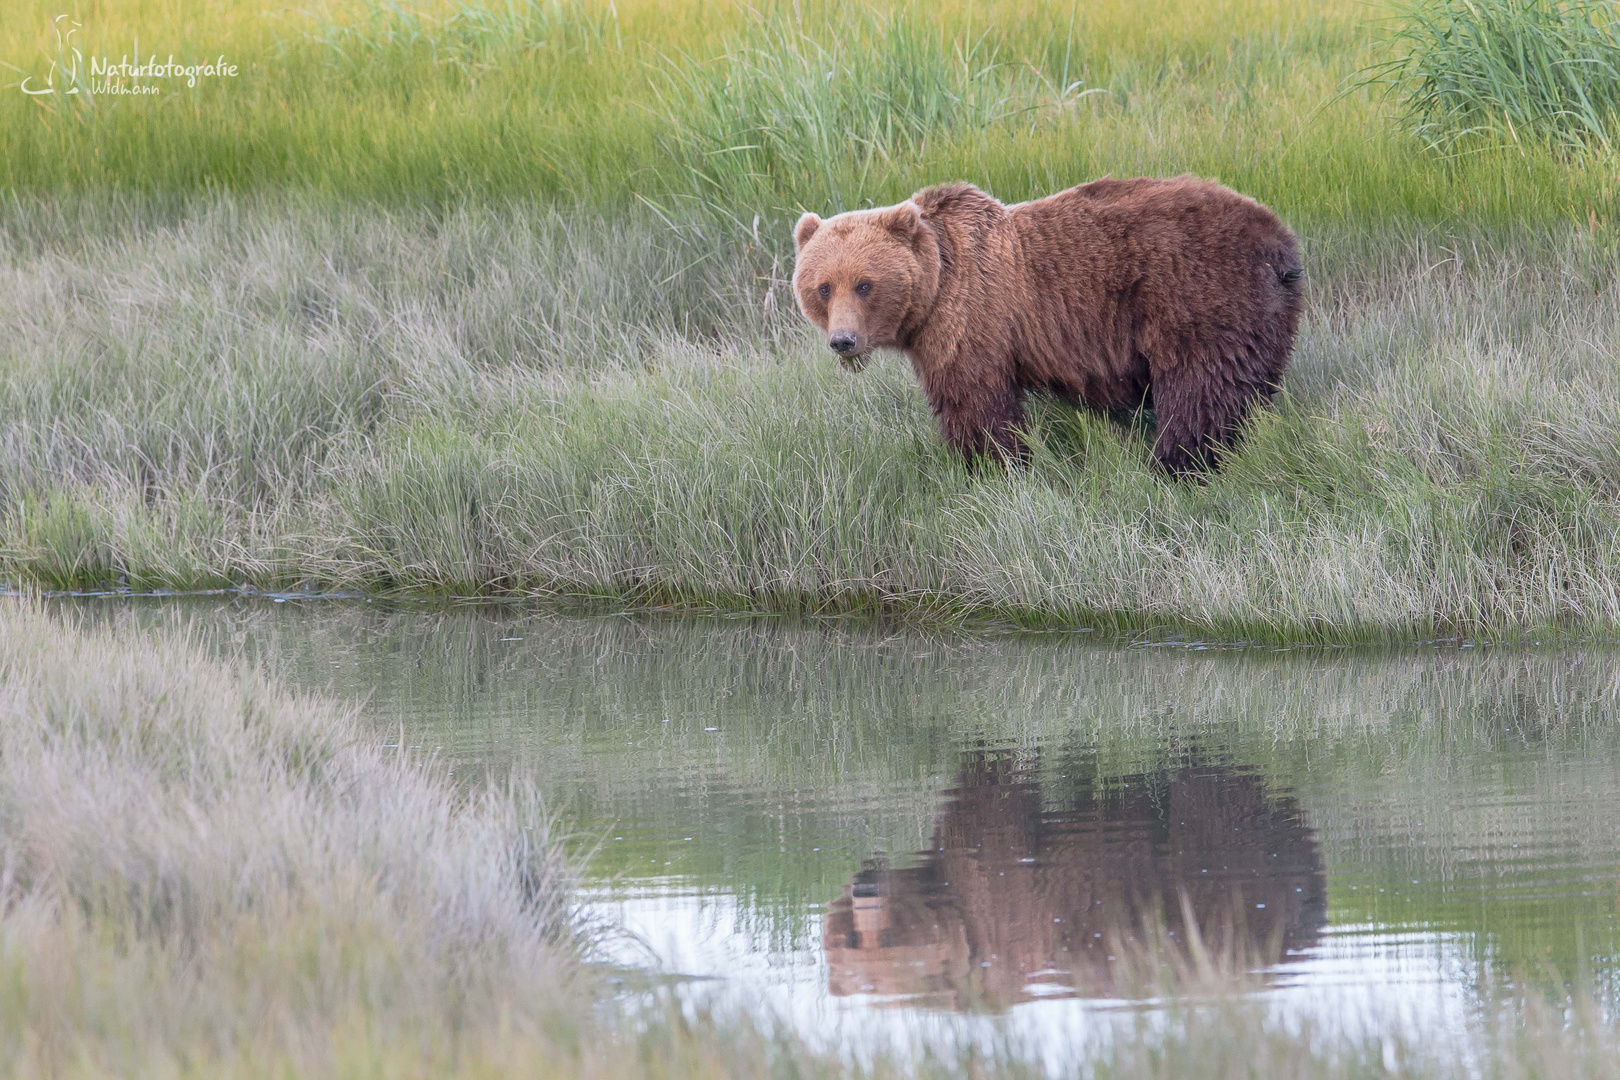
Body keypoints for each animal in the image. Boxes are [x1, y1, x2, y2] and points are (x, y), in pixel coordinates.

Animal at [790, 177, 1308, 472]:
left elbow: (975, 399)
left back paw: (1178, 463)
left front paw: (989, 464)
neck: (936, 284)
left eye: (864, 284)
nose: (843, 341)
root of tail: (1278, 242)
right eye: (823, 287)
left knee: (1200, 388)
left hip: (1196, 292)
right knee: (1247, 385)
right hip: (1267, 313)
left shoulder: (973, 317)